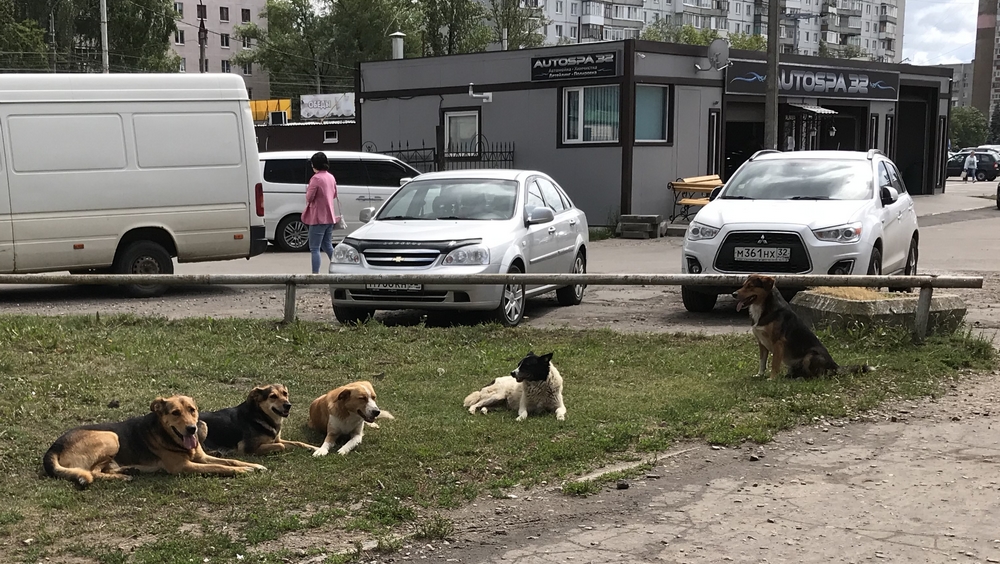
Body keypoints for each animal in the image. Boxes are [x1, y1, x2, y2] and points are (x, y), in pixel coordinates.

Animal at [44, 392, 266, 490]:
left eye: (192, 410)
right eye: (175, 413)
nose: (192, 428)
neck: (170, 436)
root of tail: (54, 447)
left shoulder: (201, 457)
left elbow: (231, 460)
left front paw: (254, 465)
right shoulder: (184, 467)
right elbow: (220, 468)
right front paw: (242, 471)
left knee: (100, 469)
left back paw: (127, 470)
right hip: (111, 437)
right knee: (92, 472)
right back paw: (123, 476)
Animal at [728, 274, 876, 378]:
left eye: (750, 286)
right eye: (743, 285)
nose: (734, 294)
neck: (763, 308)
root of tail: (835, 366)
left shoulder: (778, 342)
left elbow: (774, 364)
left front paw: (772, 378)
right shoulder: (762, 343)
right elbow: (762, 362)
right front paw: (759, 375)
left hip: (810, 355)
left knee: (817, 376)